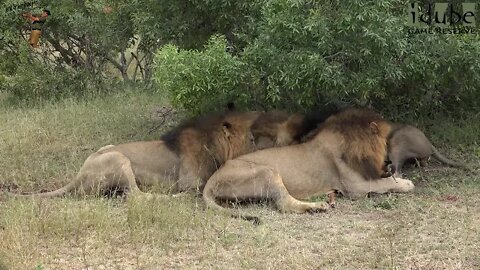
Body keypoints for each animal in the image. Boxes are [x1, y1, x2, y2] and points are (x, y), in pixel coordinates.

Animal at [5, 110, 260, 198]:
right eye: (251, 138)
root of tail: (78, 175)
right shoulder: (189, 180)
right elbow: (200, 184)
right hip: (119, 158)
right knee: (136, 195)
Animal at [201, 107, 414, 221]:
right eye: (386, 143)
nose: (389, 161)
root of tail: (210, 182)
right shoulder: (355, 187)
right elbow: (385, 183)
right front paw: (407, 183)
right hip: (267, 172)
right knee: (284, 204)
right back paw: (317, 207)